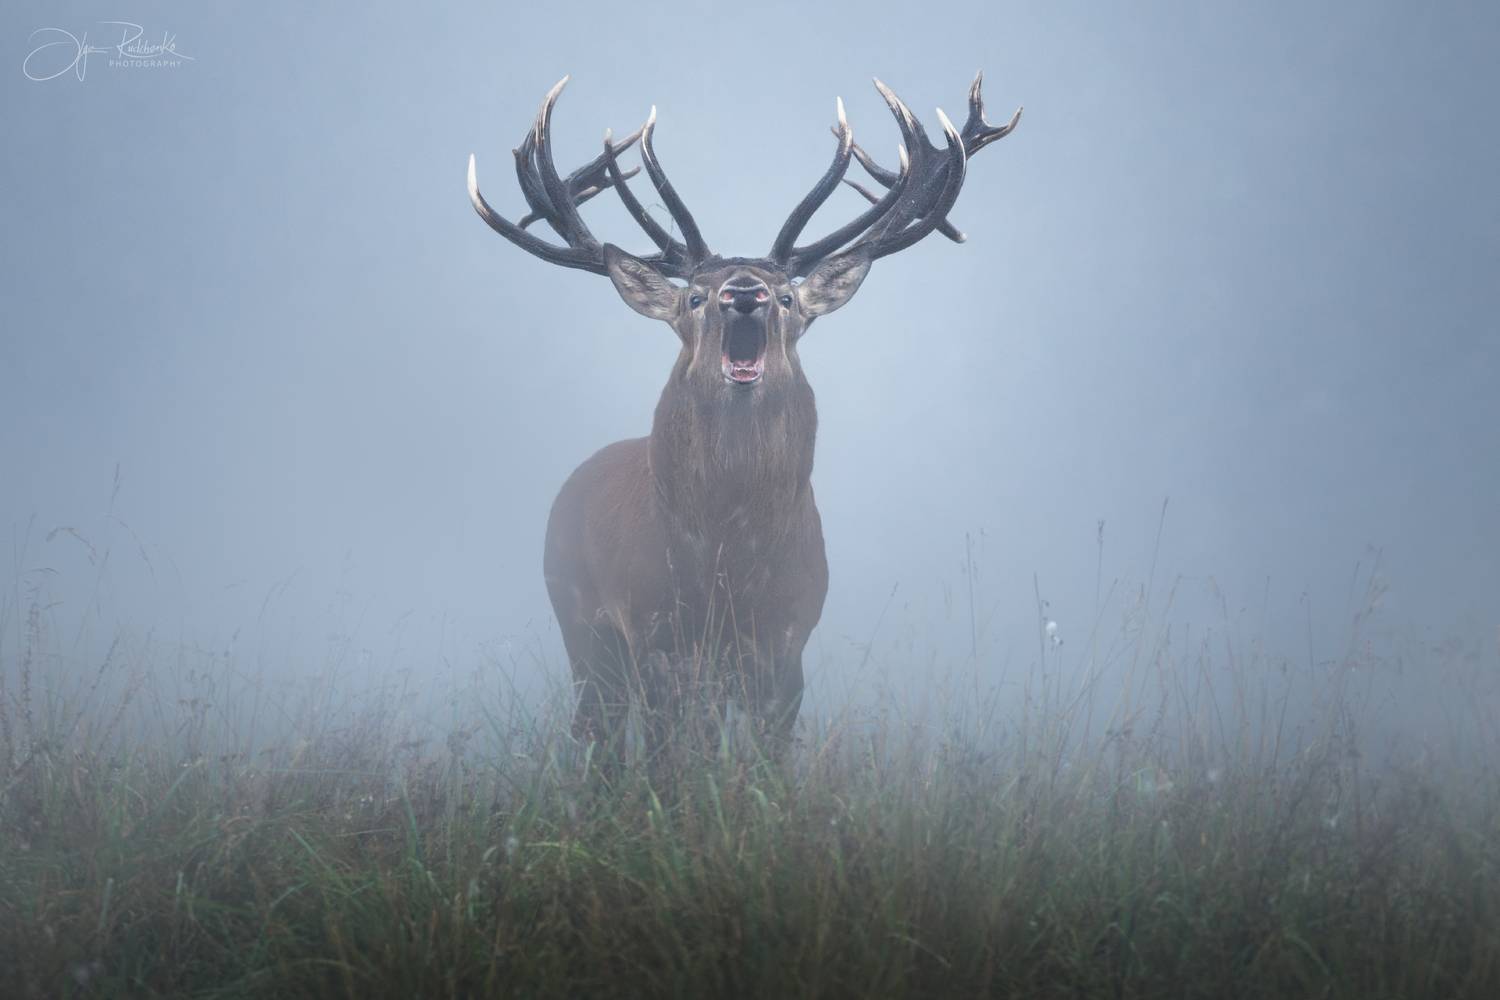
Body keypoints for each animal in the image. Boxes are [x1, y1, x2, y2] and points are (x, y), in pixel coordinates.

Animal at [468, 74, 1019, 761]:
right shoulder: (656, 631)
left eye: (787, 296)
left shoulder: (788, 637)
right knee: (600, 736)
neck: (730, 555)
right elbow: (669, 754)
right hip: (578, 619)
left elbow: (766, 755)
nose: (744, 292)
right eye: (694, 298)